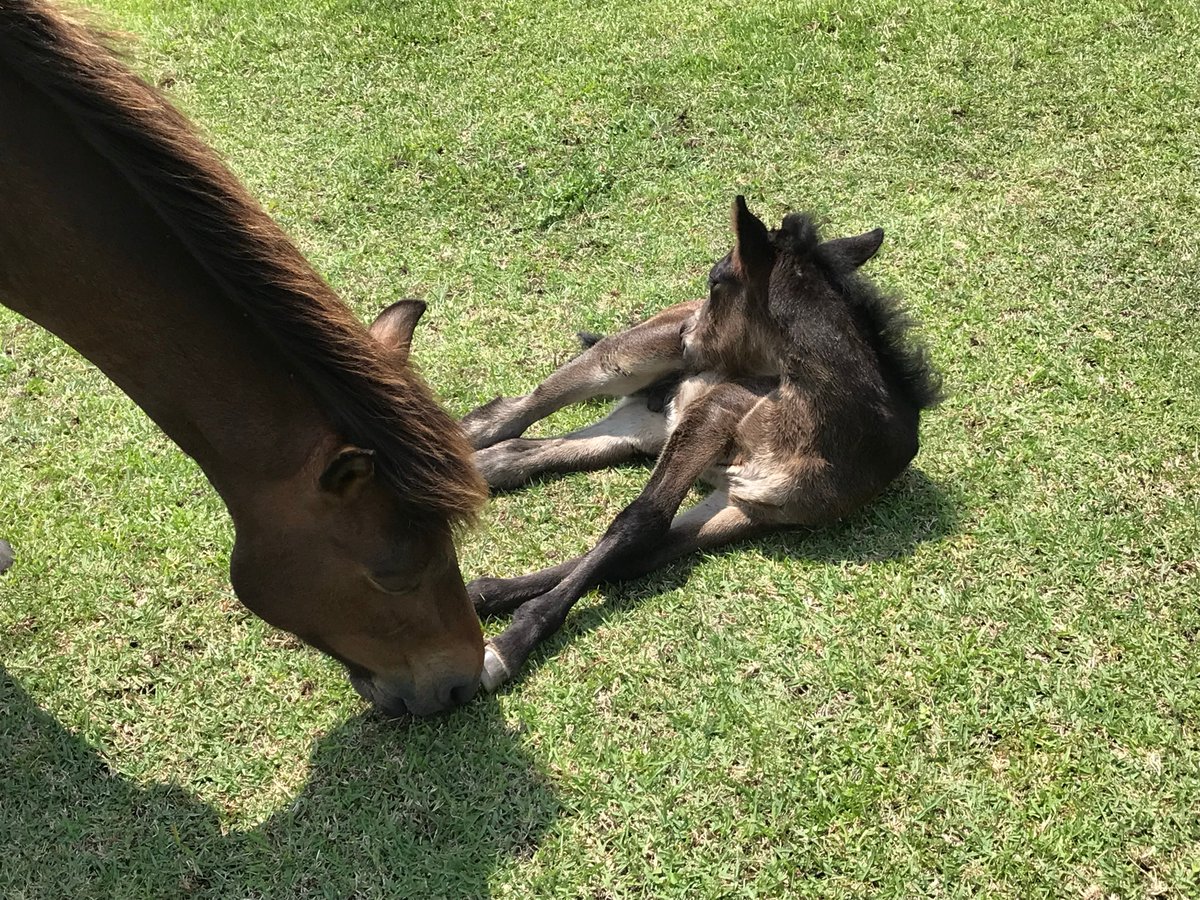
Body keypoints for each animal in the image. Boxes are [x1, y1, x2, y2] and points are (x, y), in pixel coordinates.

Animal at [461, 197, 943, 690]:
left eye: (716, 282)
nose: (686, 336)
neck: (827, 432)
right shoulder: (717, 410)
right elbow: (639, 522)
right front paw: (505, 643)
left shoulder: (750, 506)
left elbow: (635, 553)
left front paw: (486, 597)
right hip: (621, 361)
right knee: (509, 412)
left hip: (639, 429)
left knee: (519, 452)